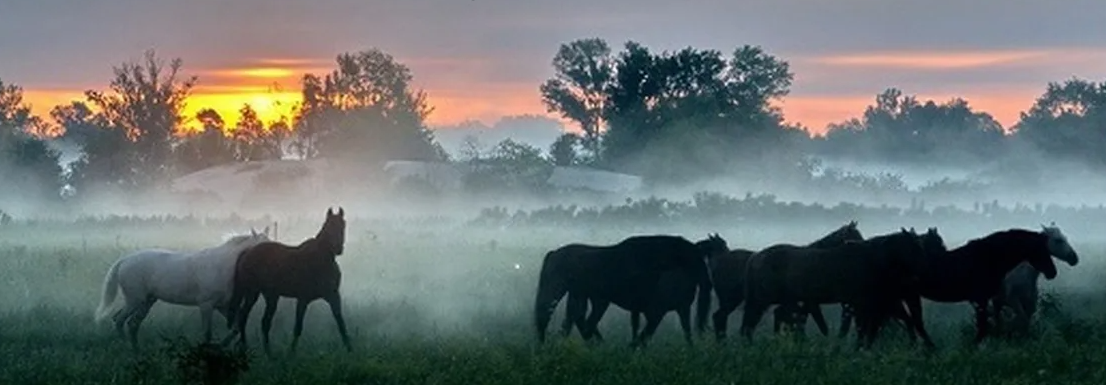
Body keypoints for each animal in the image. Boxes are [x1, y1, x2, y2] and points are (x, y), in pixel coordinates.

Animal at [95, 225, 272, 349]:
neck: (222, 266)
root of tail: (125, 260)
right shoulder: (206, 305)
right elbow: (207, 333)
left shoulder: (222, 306)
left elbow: (235, 328)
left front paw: (222, 345)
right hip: (135, 300)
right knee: (119, 320)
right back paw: (127, 347)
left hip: (146, 302)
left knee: (132, 324)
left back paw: (136, 350)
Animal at [223, 207, 345, 354]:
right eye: (327, 226)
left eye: (343, 225)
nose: (338, 249)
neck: (322, 259)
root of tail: (247, 252)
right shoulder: (303, 299)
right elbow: (298, 328)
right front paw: (291, 354)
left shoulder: (333, 296)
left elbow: (341, 324)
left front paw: (350, 351)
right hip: (253, 293)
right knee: (245, 317)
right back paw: (248, 348)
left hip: (269, 296)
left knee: (261, 321)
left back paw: (266, 352)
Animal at [533, 233, 729, 347]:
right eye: (720, 248)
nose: (708, 281)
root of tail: (554, 253)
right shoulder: (655, 311)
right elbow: (644, 332)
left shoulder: (678, 309)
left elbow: (685, 331)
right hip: (565, 294)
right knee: (555, 317)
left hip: (582, 296)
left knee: (577, 320)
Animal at [738, 229, 929, 349]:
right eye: (913, 247)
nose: (923, 271)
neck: (870, 258)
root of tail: (755, 257)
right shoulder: (858, 304)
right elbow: (861, 328)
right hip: (762, 301)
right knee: (751, 323)